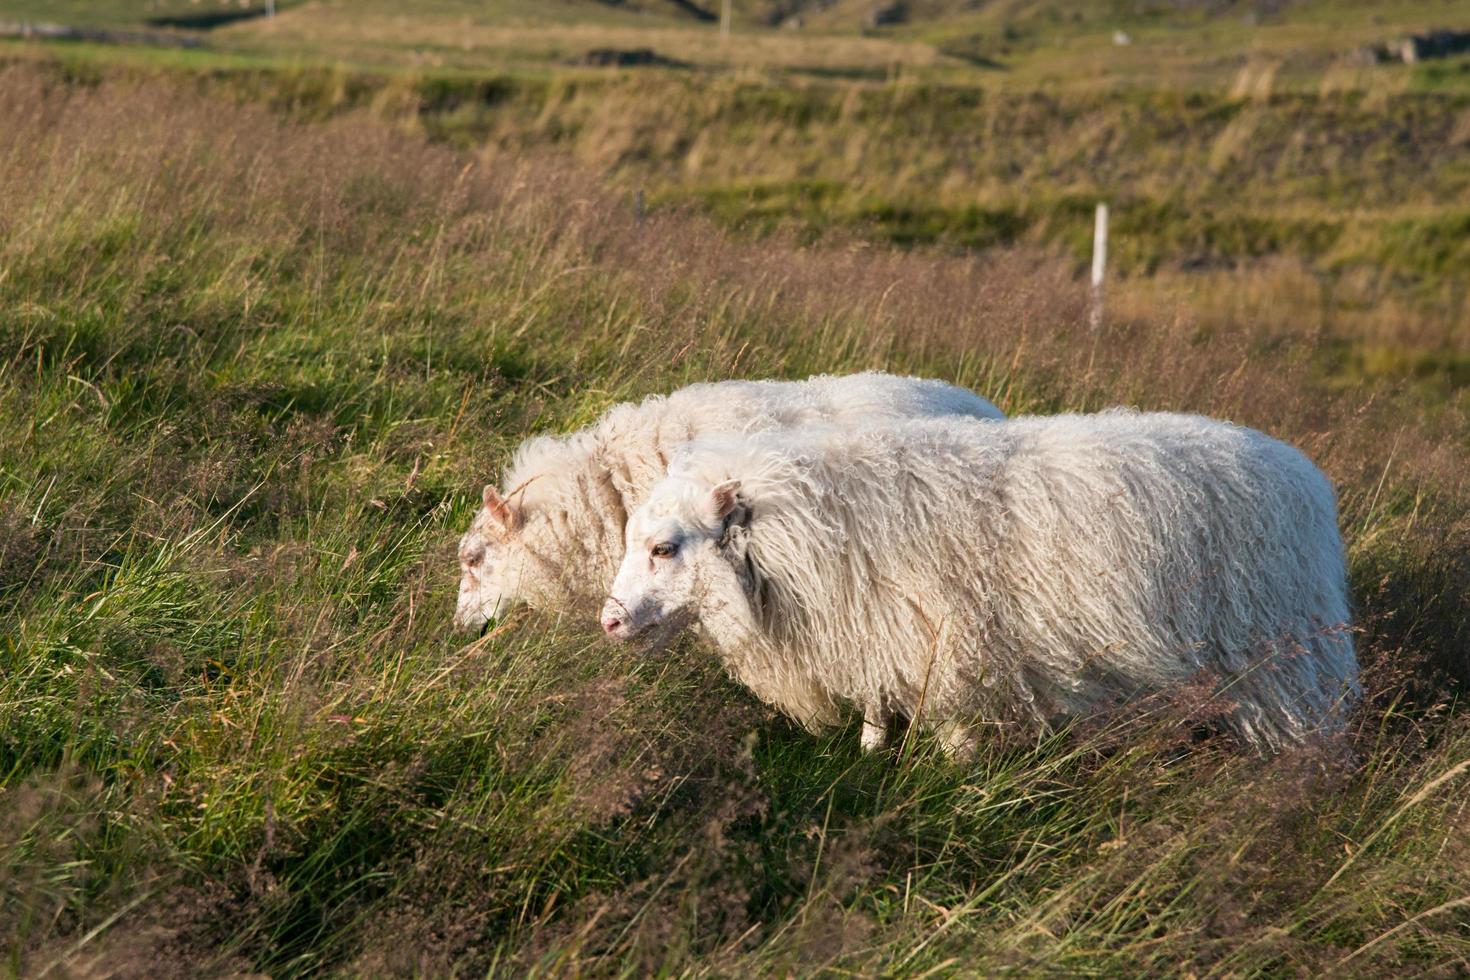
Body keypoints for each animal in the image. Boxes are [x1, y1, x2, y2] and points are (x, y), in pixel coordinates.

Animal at [602, 411, 1358, 758]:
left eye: (665, 548)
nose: (608, 623)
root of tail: (1302, 473)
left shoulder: (953, 646)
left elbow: (953, 733)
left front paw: (951, 775)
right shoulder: (885, 633)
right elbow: (878, 705)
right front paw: (872, 753)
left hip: (1286, 655)